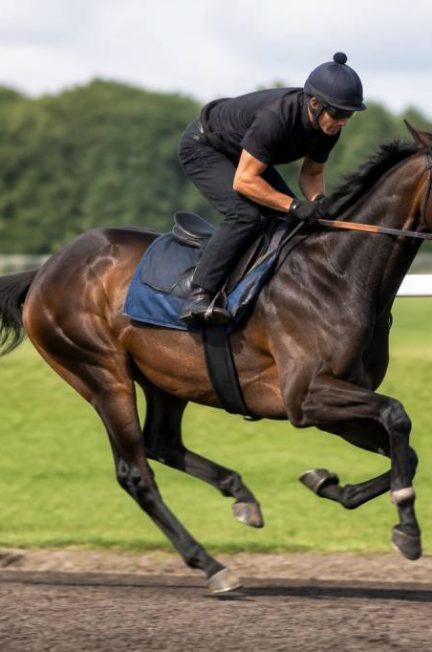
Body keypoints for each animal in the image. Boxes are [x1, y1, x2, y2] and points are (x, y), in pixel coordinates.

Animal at [0, 122, 431, 594]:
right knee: (136, 473)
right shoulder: (305, 397)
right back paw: (211, 565)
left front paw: (326, 482)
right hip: (101, 374)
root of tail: (43, 272)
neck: (337, 273)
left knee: (162, 443)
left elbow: (406, 453)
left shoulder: (334, 404)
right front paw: (408, 531)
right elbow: (397, 416)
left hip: (165, 378)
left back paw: (241, 498)